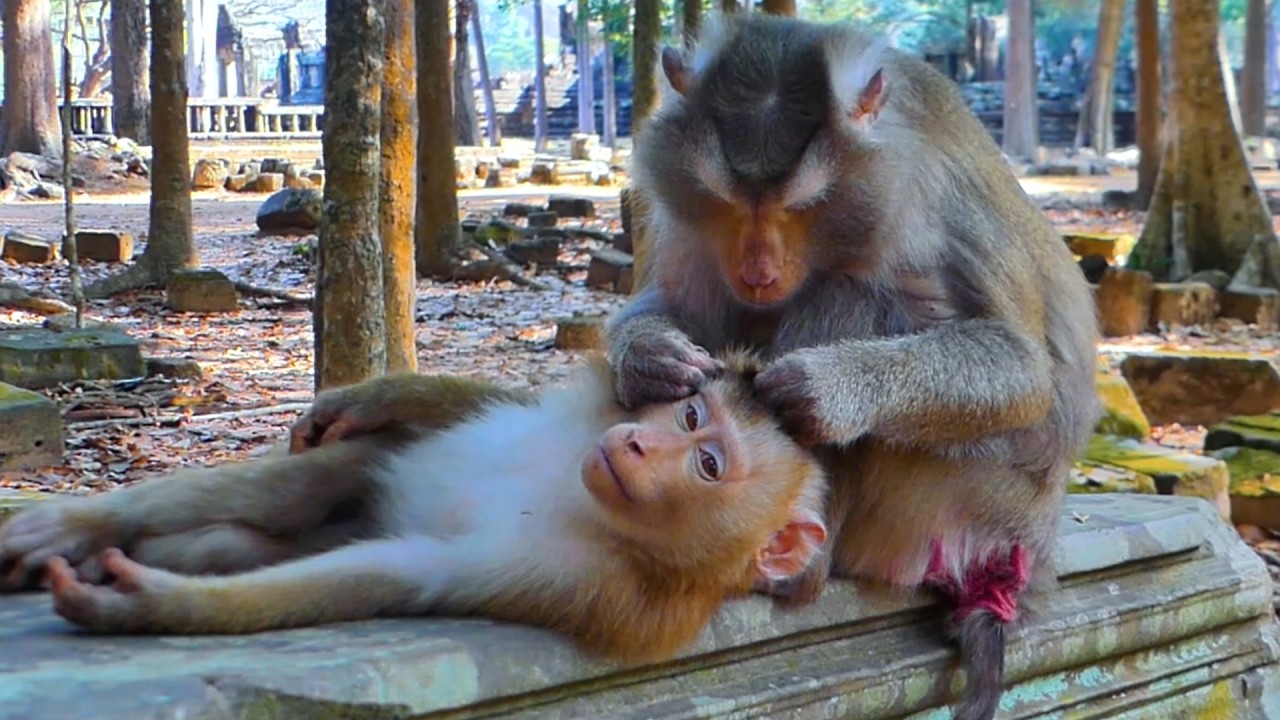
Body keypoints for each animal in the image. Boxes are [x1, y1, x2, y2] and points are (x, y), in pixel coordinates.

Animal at [0, 353, 830, 665]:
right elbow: (476, 405)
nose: (632, 444)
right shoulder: (580, 419)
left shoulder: (587, 582)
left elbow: (396, 573)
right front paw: (372, 396)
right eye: (689, 417)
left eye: (708, 466)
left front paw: (149, 604)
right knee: (323, 477)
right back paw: (82, 526)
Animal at [601, 13, 1099, 720]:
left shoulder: (928, 199)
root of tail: (1026, 551)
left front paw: (827, 389)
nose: (758, 271)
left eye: (800, 207)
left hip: (964, 495)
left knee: (854, 297)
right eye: (726, 203)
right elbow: (673, 307)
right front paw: (649, 358)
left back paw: (798, 567)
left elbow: (1024, 371)